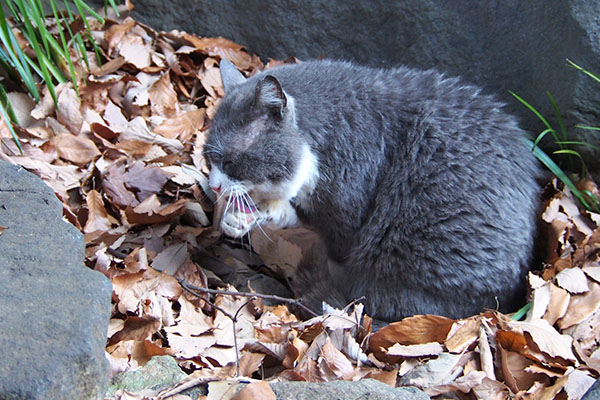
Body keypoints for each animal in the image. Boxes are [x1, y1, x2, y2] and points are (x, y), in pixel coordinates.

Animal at [203, 59, 544, 320]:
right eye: (208, 157)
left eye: (230, 161)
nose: (214, 185)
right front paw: (245, 217)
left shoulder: (344, 215)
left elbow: (324, 235)